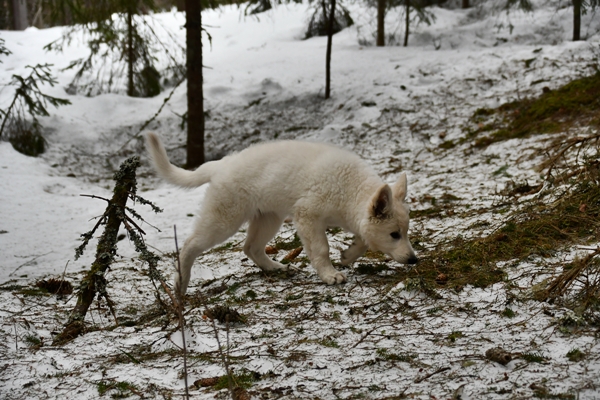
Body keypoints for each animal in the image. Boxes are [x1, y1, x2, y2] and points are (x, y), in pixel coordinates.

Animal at [145, 134, 418, 294]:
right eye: (394, 235)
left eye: (405, 233)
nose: (414, 260)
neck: (350, 190)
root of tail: (221, 164)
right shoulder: (308, 216)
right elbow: (321, 249)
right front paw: (330, 274)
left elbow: (363, 239)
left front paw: (348, 255)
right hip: (224, 219)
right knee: (190, 245)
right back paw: (180, 284)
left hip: (269, 218)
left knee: (251, 248)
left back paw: (276, 268)